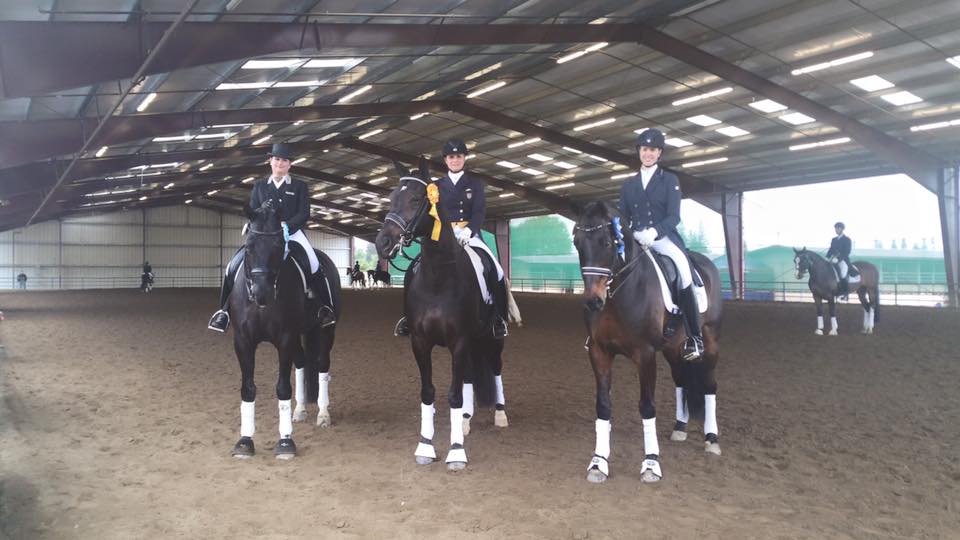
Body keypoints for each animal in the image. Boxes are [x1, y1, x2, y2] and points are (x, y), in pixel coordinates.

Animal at [225, 201, 342, 460]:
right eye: (249, 246)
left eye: (279, 245)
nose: (261, 293)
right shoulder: (243, 341)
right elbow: (247, 389)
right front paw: (245, 441)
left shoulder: (285, 338)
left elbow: (282, 388)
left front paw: (286, 442)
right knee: (301, 363)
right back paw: (299, 411)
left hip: (325, 332)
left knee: (322, 365)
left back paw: (323, 414)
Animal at [376, 158, 510, 470]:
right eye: (392, 197)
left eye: (416, 199)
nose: (382, 243)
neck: (438, 277)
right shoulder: (420, 342)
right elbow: (429, 392)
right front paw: (425, 447)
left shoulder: (459, 342)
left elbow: (454, 394)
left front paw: (456, 452)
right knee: (471, 375)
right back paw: (466, 420)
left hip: (493, 339)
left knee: (495, 368)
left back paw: (499, 414)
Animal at [568, 201, 720, 486]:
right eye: (577, 243)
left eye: (607, 242)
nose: (593, 302)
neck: (619, 294)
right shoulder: (599, 351)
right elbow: (603, 406)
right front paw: (598, 462)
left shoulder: (646, 354)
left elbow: (647, 407)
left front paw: (651, 464)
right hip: (673, 347)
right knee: (681, 380)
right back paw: (680, 428)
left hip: (710, 340)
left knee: (709, 385)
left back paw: (712, 439)